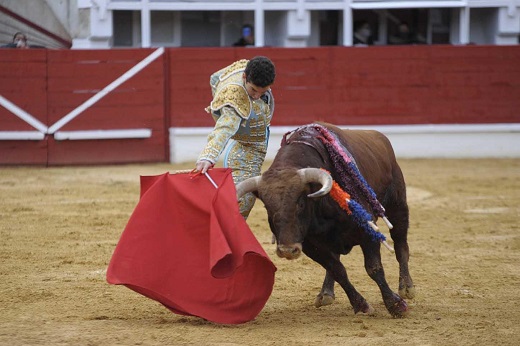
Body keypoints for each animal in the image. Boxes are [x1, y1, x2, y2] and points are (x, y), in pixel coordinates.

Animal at [238, 122, 416, 318]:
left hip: (398, 206)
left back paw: (407, 288)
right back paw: (326, 293)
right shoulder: (311, 245)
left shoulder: (367, 230)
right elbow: (337, 270)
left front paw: (395, 305)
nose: (287, 250)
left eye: (301, 203)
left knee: (401, 245)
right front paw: (361, 305)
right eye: (267, 207)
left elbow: (374, 268)